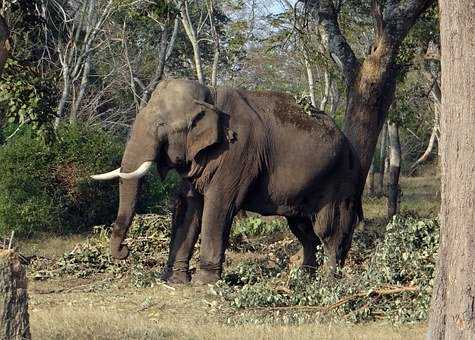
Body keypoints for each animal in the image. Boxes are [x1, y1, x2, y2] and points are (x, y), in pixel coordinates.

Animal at [91, 79, 362, 284]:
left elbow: (218, 206)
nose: (124, 251)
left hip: (339, 183)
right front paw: (174, 281)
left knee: (329, 230)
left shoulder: (238, 153)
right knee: (304, 230)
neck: (210, 96)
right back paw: (303, 280)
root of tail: (352, 148)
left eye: (161, 125)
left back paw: (329, 282)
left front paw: (203, 284)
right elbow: (189, 206)